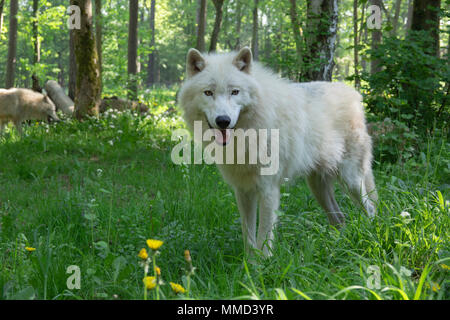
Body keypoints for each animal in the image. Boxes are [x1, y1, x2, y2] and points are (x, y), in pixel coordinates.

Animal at [178, 47, 378, 258]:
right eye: (208, 92)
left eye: (235, 92)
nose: (223, 120)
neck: (249, 132)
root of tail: (354, 94)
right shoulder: (243, 190)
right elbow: (248, 236)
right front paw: (248, 263)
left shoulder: (268, 189)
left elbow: (264, 236)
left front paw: (263, 264)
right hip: (318, 188)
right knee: (339, 218)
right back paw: (336, 248)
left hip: (351, 181)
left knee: (370, 209)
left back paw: (370, 240)